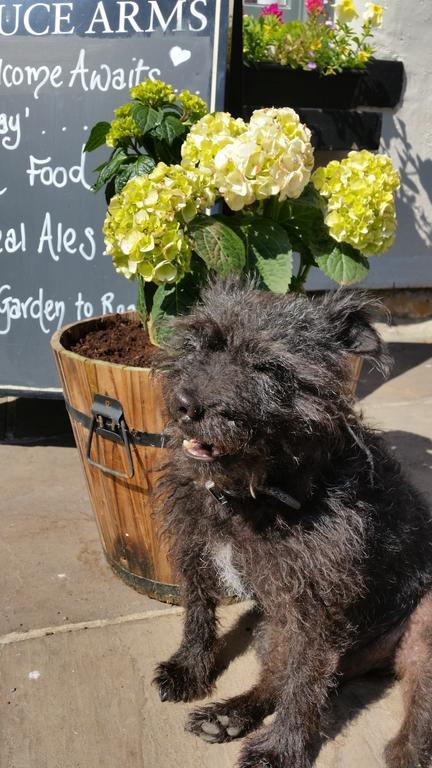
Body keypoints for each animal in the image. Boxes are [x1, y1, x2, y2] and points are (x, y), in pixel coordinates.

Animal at [153, 280, 432, 768]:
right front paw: (188, 668)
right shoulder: (197, 552)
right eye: (200, 344)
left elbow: (303, 688)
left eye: (268, 366)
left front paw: (281, 749)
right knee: (279, 681)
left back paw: (409, 751)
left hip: (422, 625)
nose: (187, 406)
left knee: (413, 697)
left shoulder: (315, 609)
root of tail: (374, 659)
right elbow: (198, 615)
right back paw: (228, 716)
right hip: (274, 627)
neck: (255, 494)